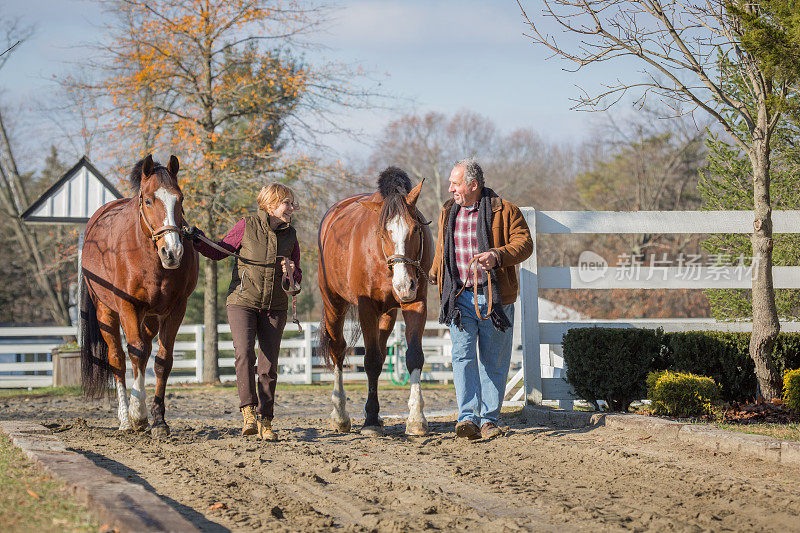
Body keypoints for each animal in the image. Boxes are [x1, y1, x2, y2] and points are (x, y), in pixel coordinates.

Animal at [81, 154, 198, 436]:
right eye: (148, 200)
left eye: (180, 199)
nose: (172, 252)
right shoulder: (128, 307)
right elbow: (133, 352)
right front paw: (138, 413)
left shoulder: (175, 309)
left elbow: (162, 361)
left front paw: (158, 420)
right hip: (106, 312)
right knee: (118, 358)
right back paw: (126, 417)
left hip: (151, 318)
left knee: (144, 354)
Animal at [318, 167, 432, 436]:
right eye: (382, 233)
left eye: (415, 229)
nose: (404, 285)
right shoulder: (366, 307)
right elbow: (369, 361)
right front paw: (369, 420)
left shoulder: (415, 304)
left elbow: (413, 356)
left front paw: (416, 418)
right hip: (333, 304)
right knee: (339, 350)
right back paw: (340, 414)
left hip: (388, 314)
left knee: (380, 356)